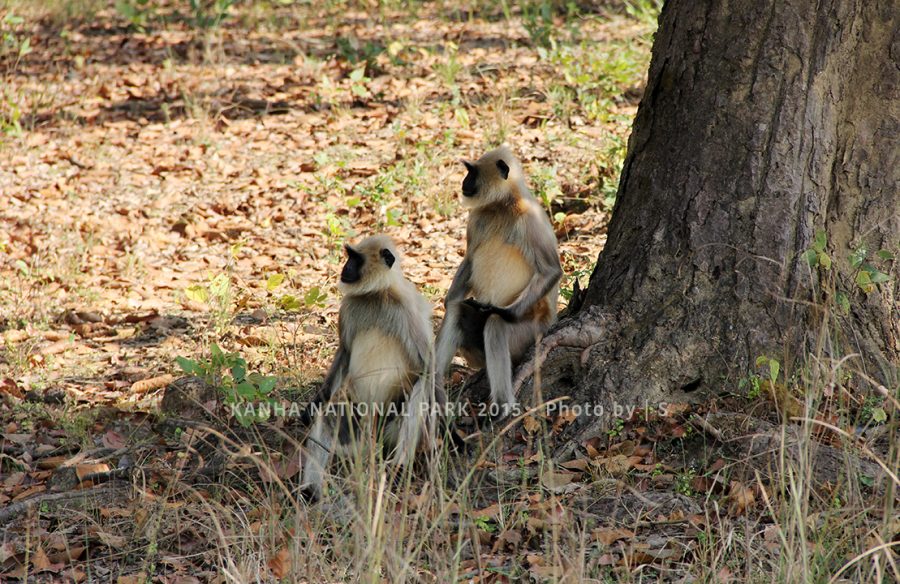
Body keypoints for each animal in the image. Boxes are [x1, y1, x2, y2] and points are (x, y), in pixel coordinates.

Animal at [298, 235, 440, 500]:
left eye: (356, 259)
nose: (345, 268)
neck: (375, 294)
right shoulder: (348, 306)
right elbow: (345, 351)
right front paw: (315, 403)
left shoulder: (405, 309)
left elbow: (427, 370)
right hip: (358, 417)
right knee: (331, 416)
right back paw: (310, 490)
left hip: (389, 421)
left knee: (417, 394)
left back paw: (400, 466)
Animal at [432, 146, 560, 420]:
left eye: (472, 172)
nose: (464, 182)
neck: (501, 206)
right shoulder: (477, 217)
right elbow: (470, 259)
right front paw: (447, 301)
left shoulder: (531, 219)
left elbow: (551, 271)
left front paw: (501, 311)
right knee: (459, 311)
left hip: (532, 332)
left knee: (495, 326)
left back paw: (502, 407)